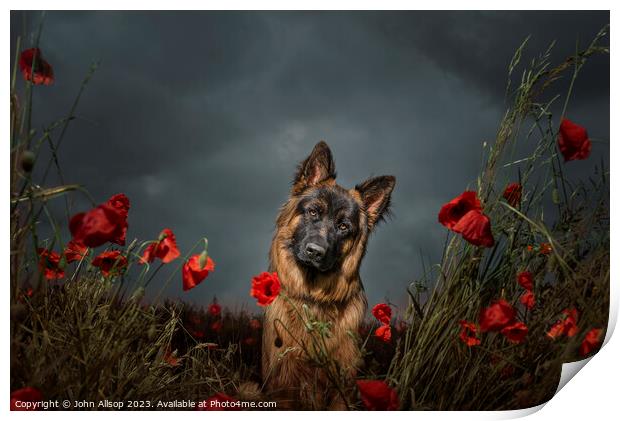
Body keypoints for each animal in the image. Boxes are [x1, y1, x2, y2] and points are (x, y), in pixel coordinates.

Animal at [264, 140, 394, 406]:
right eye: (313, 212)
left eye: (343, 226)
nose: (315, 252)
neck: (313, 296)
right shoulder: (283, 383)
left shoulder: (342, 383)